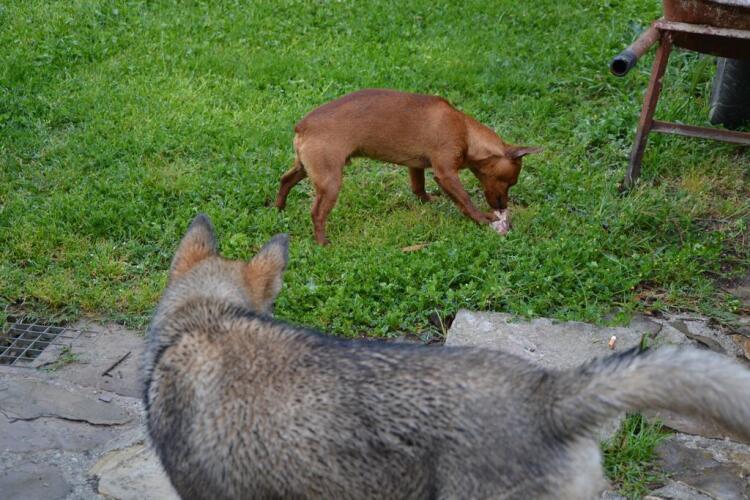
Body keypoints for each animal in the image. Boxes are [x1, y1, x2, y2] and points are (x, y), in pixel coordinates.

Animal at [274, 89, 542, 244]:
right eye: (510, 182)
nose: (503, 207)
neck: (467, 131)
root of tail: (303, 127)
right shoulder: (446, 174)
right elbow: (465, 200)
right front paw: (482, 219)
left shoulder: (416, 166)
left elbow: (418, 187)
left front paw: (427, 201)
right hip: (330, 183)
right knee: (317, 213)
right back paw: (322, 243)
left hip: (305, 169)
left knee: (285, 180)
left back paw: (279, 209)